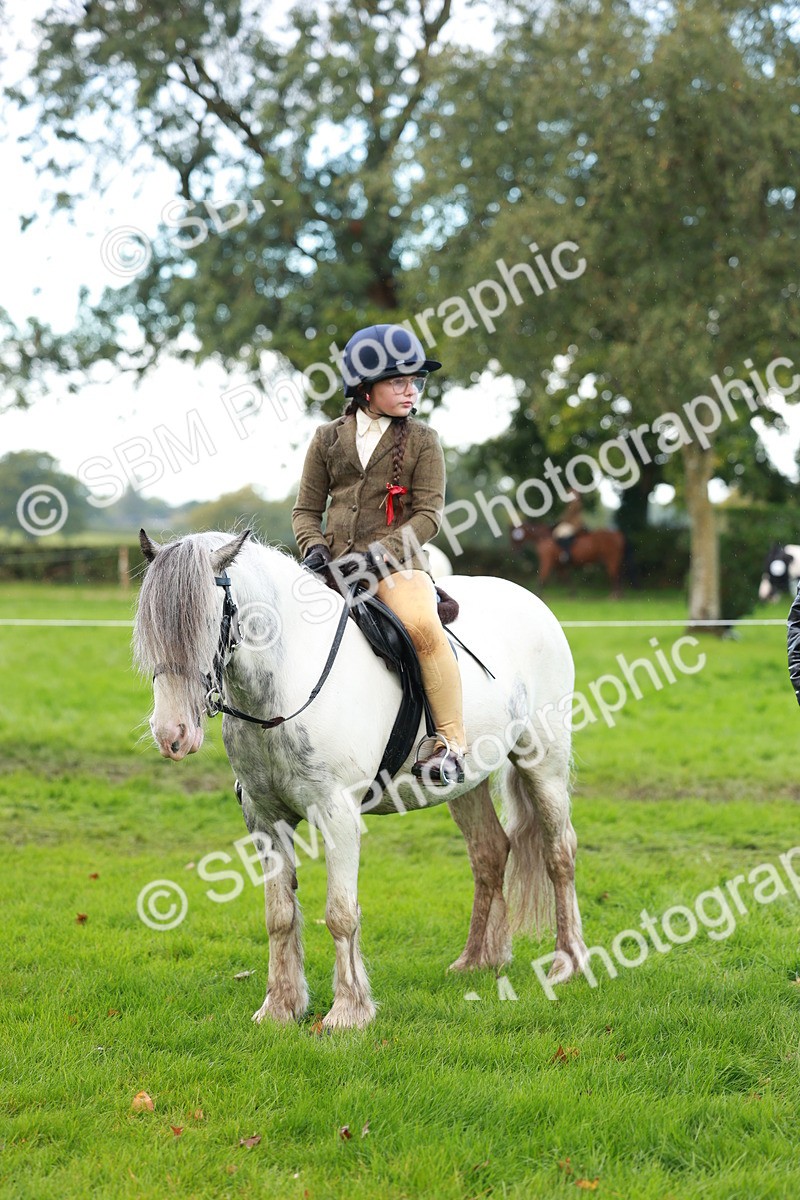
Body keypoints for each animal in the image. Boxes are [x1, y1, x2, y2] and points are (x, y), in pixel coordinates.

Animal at [133, 529, 587, 1030]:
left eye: (208, 622)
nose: (172, 734)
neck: (289, 683)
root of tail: (532, 602)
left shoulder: (338, 815)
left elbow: (340, 914)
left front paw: (348, 1013)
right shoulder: (264, 817)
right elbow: (279, 915)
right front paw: (280, 1007)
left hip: (543, 762)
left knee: (559, 852)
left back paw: (568, 962)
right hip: (465, 784)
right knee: (489, 853)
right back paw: (479, 960)